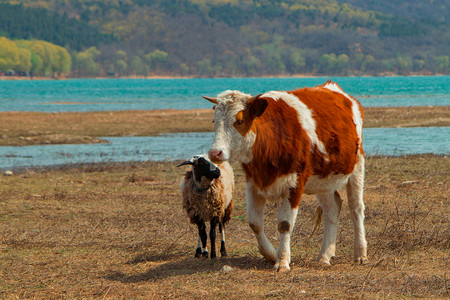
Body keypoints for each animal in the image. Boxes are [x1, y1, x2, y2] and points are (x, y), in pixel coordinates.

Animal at [204, 79, 370, 272]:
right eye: (214, 121)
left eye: (239, 121)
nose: (215, 153)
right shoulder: (253, 183)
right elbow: (254, 223)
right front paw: (271, 254)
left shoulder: (295, 183)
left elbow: (284, 224)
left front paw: (282, 261)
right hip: (323, 179)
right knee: (332, 208)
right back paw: (325, 255)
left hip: (357, 166)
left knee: (356, 208)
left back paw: (360, 254)